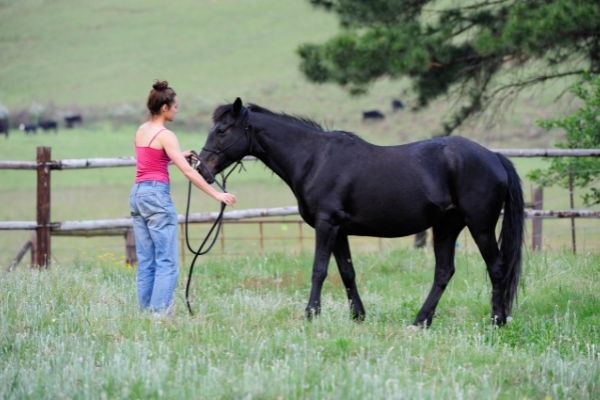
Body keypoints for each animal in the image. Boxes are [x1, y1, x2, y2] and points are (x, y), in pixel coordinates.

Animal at [199, 98, 524, 326]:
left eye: (222, 130)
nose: (202, 169)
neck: (315, 159)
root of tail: (494, 157)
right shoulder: (339, 230)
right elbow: (347, 272)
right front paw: (358, 316)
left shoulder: (326, 225)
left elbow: (319, 270)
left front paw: (311, 314)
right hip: (447, 226)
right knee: (444, 272)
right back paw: (421, 321)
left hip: (480, 226)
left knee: (496, 268)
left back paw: (497, 321)